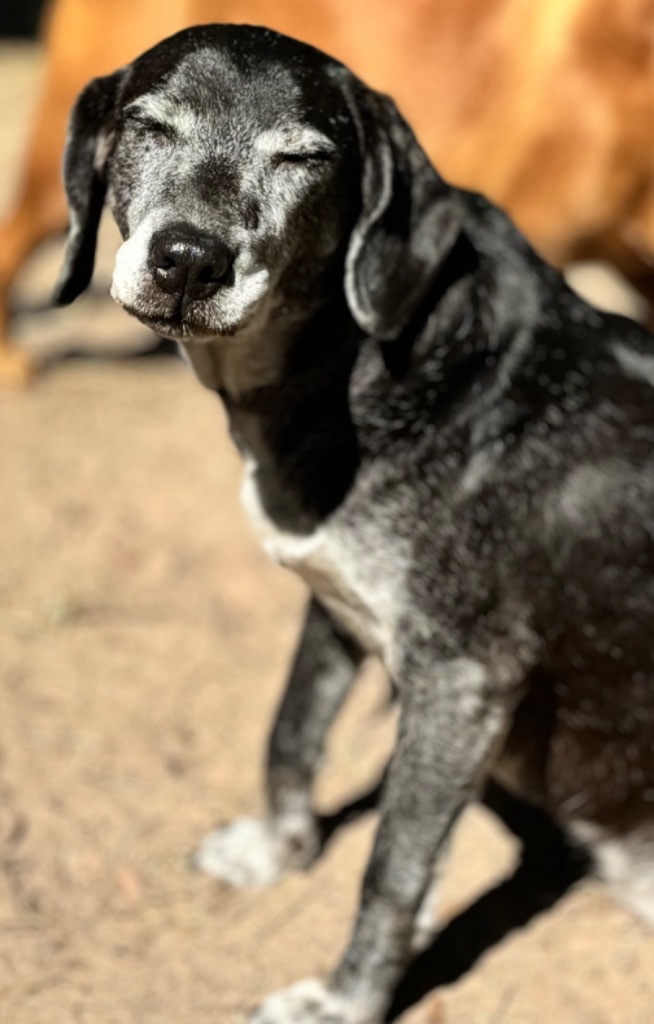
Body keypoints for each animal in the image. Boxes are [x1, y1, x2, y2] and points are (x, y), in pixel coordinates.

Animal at [56, 24, 654, 1024]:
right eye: (146, 125)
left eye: (303, 159)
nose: (188, 259)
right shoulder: (331, 597)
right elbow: (291, 728)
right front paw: (277, 849)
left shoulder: (462, 680)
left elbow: (393, 870)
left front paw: (345, 1002)